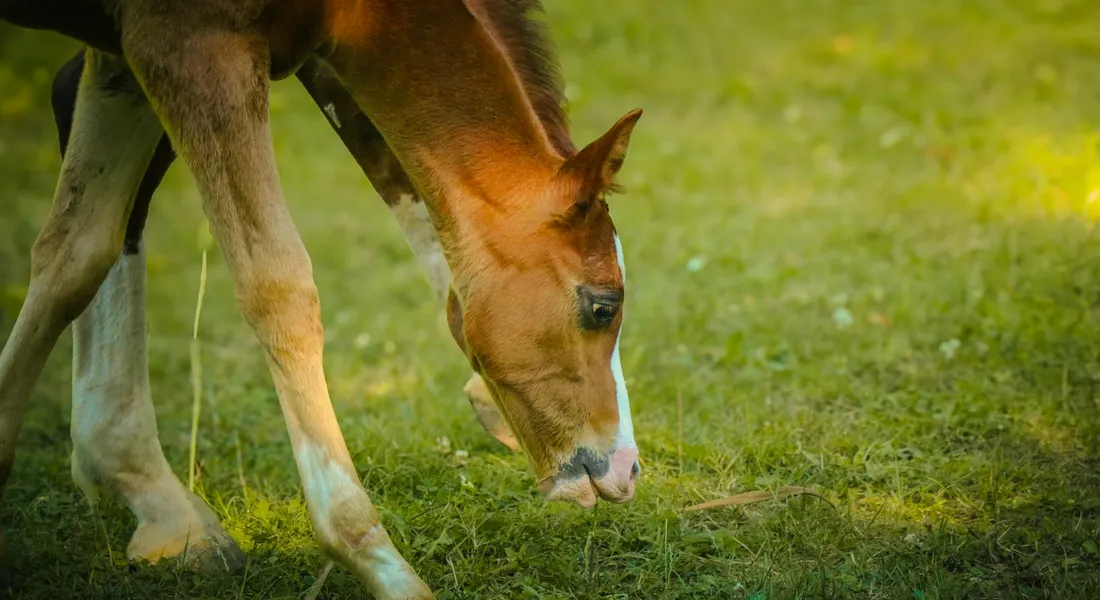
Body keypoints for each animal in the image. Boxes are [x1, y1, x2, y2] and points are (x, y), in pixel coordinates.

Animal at [0, 0, 642, 597]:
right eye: (602, 306)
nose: (627, 469)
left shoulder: (123, 55)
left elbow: (77, 252)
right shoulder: (192, 47)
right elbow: (277, 285)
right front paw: (380, 564)